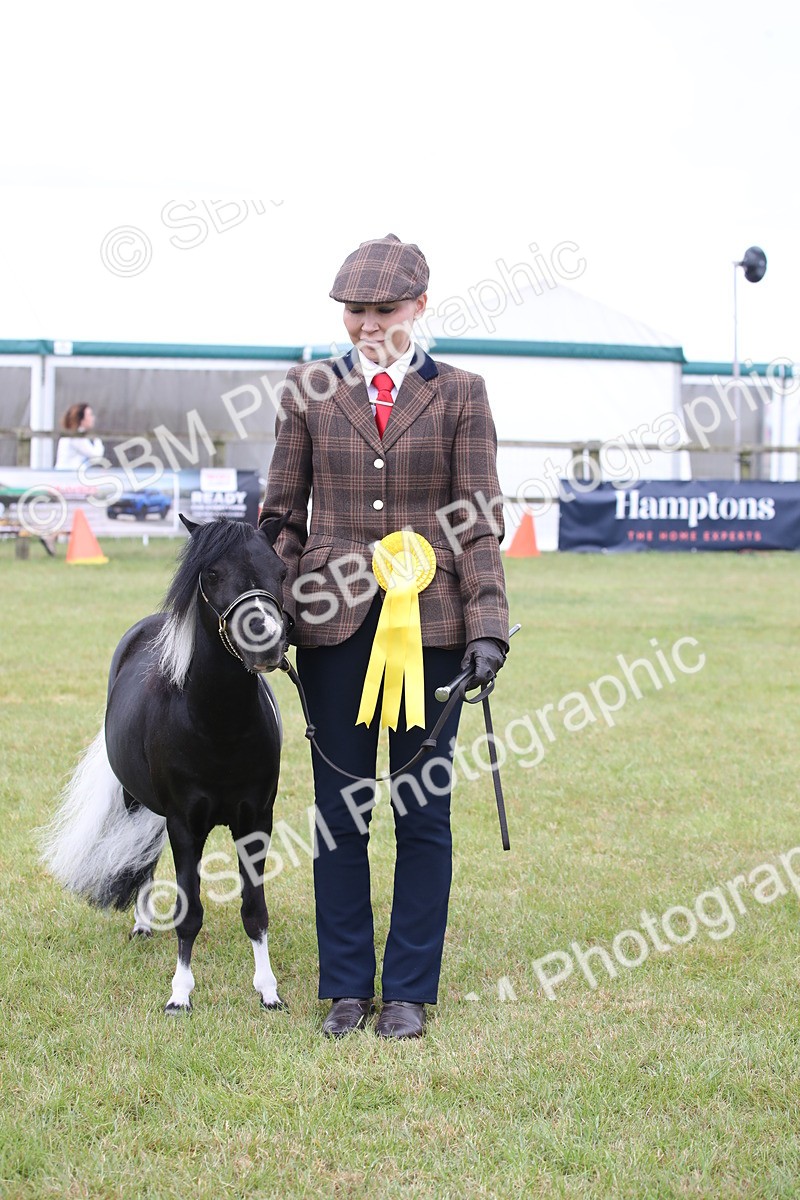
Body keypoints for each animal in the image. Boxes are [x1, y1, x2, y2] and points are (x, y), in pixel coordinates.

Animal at [40, 513, 292, 1014]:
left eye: (280, 571)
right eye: (211, 574)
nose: (267, 645)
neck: (218, 725)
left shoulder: (256, 821)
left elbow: (255, 910)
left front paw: (268, 991)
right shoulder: (184, 824)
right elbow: (188, 912)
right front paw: (180, 994)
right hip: (137, 801)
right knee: (141, 856)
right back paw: (141, 924)